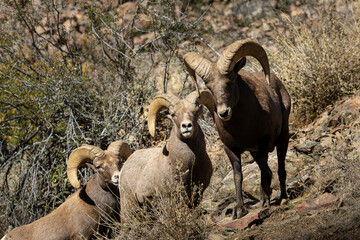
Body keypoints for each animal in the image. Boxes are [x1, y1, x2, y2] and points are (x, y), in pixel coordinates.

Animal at [119, 90, 214, 218]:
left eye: (195, 112)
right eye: (173, 114)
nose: (186, 126)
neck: (191, 165)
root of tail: (124, 167)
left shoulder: (197, 196)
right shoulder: (168, 199)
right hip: (129, 207)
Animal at [184, 39, 292, 219]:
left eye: (230, 81)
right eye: (209, 86)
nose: (223, 113)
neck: (243, 126)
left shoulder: (263, 143)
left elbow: (264, 167)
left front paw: (264, 200)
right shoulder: (231, 149)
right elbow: (238, 176)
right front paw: (239, 210)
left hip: (282, 138)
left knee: (280, 168)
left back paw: (282, 197)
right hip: (254, 152)